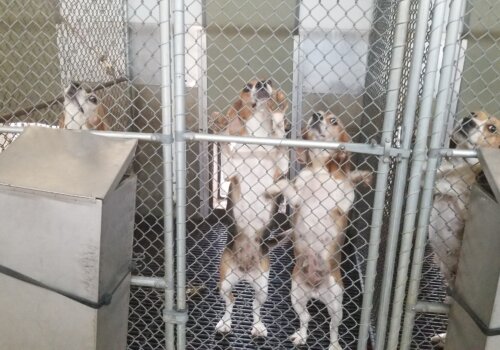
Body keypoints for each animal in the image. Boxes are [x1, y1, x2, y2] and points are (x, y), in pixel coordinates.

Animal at [214, 78, 290, 336]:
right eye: (248, 86)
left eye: (269, 81)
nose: (264, 83)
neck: (259, 139)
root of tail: (245, 271)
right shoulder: (230, 171)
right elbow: (225, 145)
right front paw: (220, 126)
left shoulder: (280, 170)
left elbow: (282, 145)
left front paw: (278, 119)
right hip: (225, 281)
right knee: (232, 300)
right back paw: (225, 323)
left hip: (263, 287)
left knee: (255, 307)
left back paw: (257, 326)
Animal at [266, 111, 372, 350]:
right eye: (317, 114)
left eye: (334, 121)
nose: (316, 115)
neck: (318, 170)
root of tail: (315, 291)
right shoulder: (297, 198)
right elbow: (285, 184)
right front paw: (273, 185)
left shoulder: (343, 202)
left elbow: (348, 185)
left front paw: (359, 176)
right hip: (296, 294)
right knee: (306, 318)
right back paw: (302, 336)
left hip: (336, 303)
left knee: (333, 328)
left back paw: (334, 345)